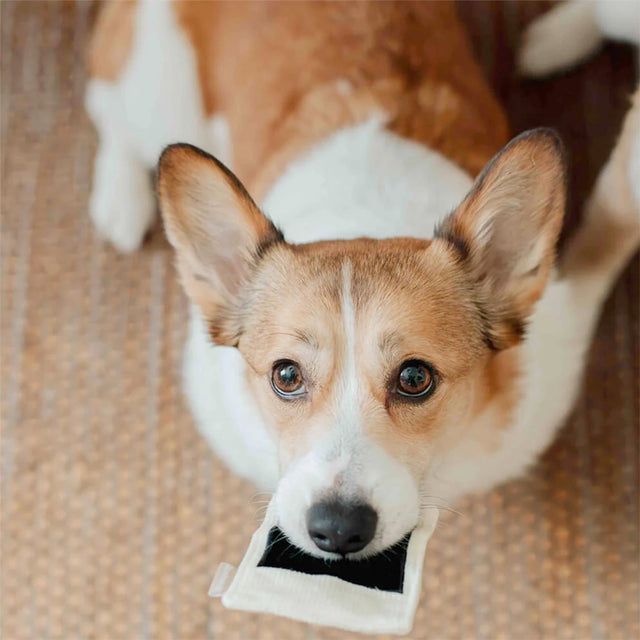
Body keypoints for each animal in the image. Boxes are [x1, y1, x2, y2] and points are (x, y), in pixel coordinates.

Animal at [86, 1, 639, 560]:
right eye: (286, 376)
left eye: (415, 378)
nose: (337, 529)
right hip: (157, 97)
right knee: (107, 106)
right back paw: (119, 199)